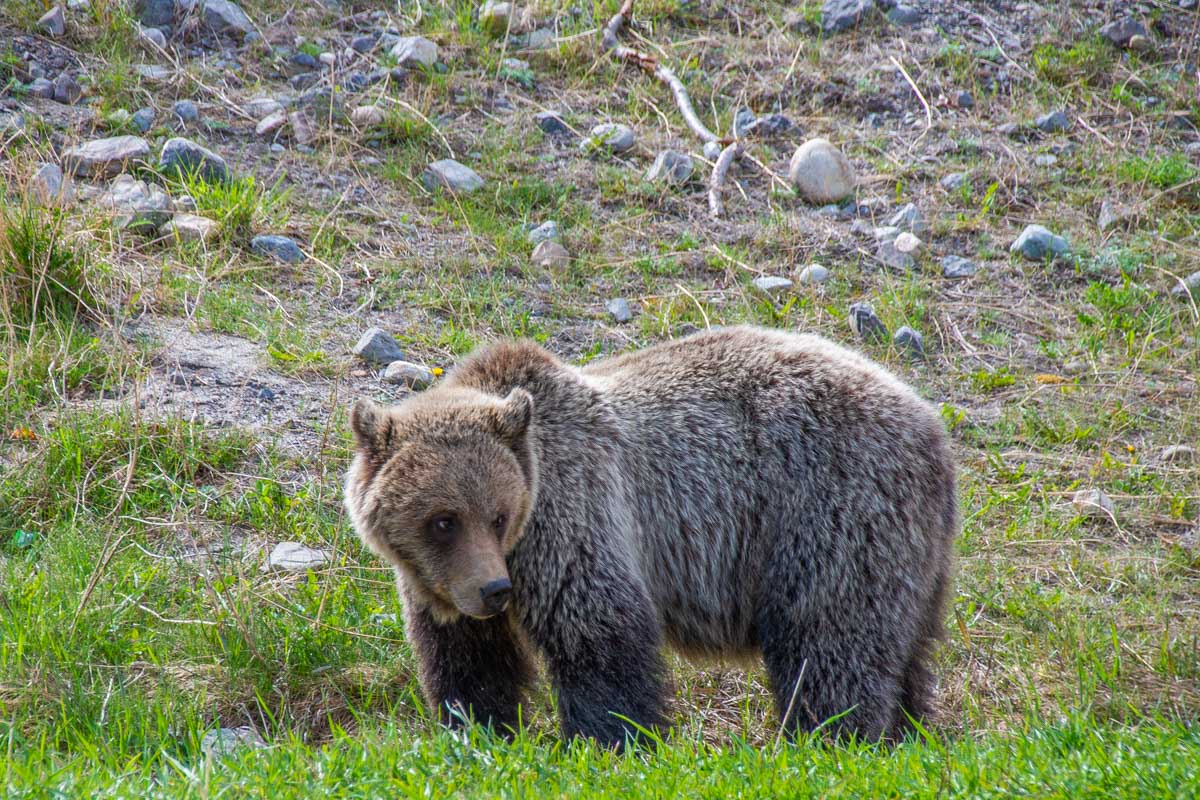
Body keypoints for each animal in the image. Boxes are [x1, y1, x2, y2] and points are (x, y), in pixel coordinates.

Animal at [344, 325, 957, 749]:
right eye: (443, 519)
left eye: (498, 514)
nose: (494, 591)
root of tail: (932, 425)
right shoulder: (443, 585)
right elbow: (468, 661)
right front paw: (478, 730)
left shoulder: (573, 513)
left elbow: (599, 631)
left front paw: (607, 740)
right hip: (912, 558)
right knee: (904, 653)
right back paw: (905, 734)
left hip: (832, 509)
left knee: (829, 639)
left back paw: (831, 739)